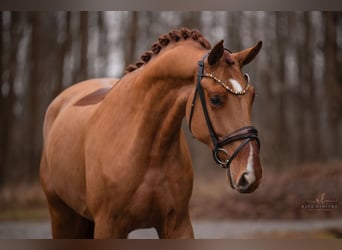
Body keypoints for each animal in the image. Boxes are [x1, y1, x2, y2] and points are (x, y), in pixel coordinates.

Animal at [40, 28, 264, 239]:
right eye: (215, 99)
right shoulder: (108, 226)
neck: (148, 151)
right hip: (61, 215)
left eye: (252, 96)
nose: (251, 174)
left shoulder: (178, 225)